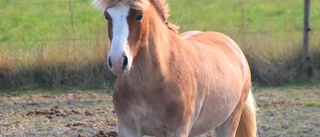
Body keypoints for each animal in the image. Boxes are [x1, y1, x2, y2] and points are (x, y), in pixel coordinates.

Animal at [93, 0, 258, 137]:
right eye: (107, 16)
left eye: (139, 16)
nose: (117, 61)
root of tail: (234, 47)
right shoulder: (128, 129)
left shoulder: (177, 131)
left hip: (229, 122)